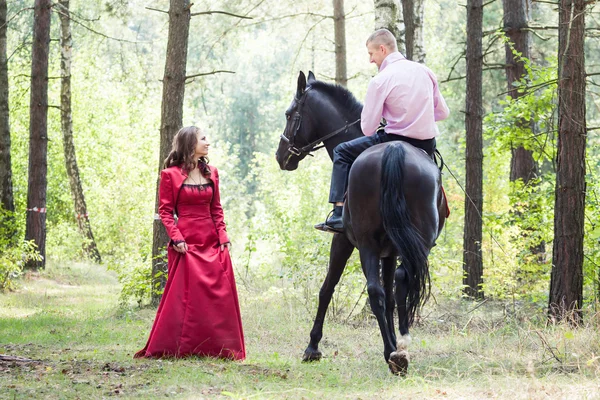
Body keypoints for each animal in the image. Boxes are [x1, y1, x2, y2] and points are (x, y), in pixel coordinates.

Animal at [276, 72, 446, 376]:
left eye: (289, 114)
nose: (281, 156)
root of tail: (394, 149)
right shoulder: (390, 250)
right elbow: (390, 295)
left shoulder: (343, 240)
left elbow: (327, 288)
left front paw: (312, 347)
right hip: (416, 242)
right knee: (399, 281)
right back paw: (400, 346)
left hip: (367, 244)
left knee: (378, 290)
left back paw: (392, 352)